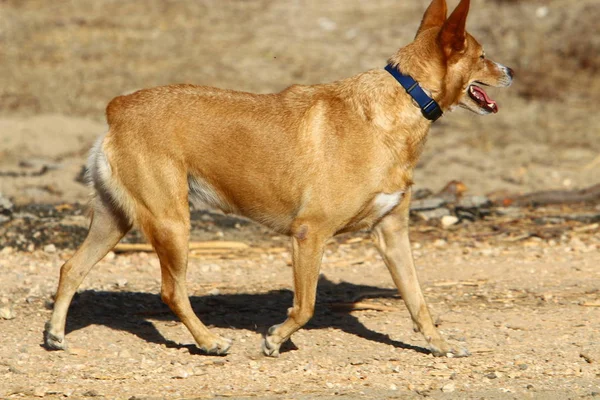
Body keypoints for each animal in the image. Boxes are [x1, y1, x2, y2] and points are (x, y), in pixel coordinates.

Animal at [45, 0, 516, 356]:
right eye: (482, 55)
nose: (512, 71)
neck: (401, 102)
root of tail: (119, 107)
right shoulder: (310, 234)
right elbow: (305, 306)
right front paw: (275, 338)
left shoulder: (392, 233)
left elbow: (419, 302)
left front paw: (440, 344)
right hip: (171, 224)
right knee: (171, 292)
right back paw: (209, 342)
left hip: (117, 219)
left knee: (71, 267)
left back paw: (54, 335)